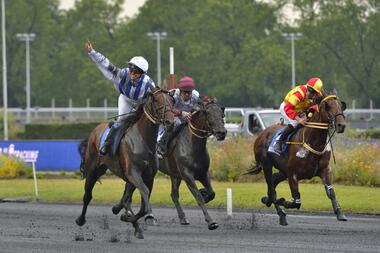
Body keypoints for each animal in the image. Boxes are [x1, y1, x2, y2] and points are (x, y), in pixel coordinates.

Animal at [74, 86, 175, 238]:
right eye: (157, 100)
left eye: (171, 100)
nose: (170, 122)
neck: (143, 139)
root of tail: (95, 129)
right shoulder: (133, 173)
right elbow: (142, 199)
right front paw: (128, 218)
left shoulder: (147, 176)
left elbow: (141, 202)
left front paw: (127, 217)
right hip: (92, 169)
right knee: (87, 195)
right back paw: (80, 219)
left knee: (126, 198)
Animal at [157, 96, 226, 229]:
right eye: (208, 113)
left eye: (221, 112)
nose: (222, 132)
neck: (192, 145)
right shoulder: (187, 175)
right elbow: (198, 197)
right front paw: (211, 221)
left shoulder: (203, 173)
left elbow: (211, 193)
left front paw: (205, 194)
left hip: (175, 175)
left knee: (174, 195)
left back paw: (183, 218)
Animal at [246, 92, 348, 225]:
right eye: (327, 106)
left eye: (341, 105)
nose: (341, 125)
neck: (311, 142)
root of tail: (262, 134)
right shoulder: (293, 174)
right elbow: (296, 202)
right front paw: (282, 201)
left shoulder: (325, 170)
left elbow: (331, 192)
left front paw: (340, 213)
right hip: (267, 165)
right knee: (272, 190)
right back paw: (281, 214)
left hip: (283, 170)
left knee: (273, 181)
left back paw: (267, 200)